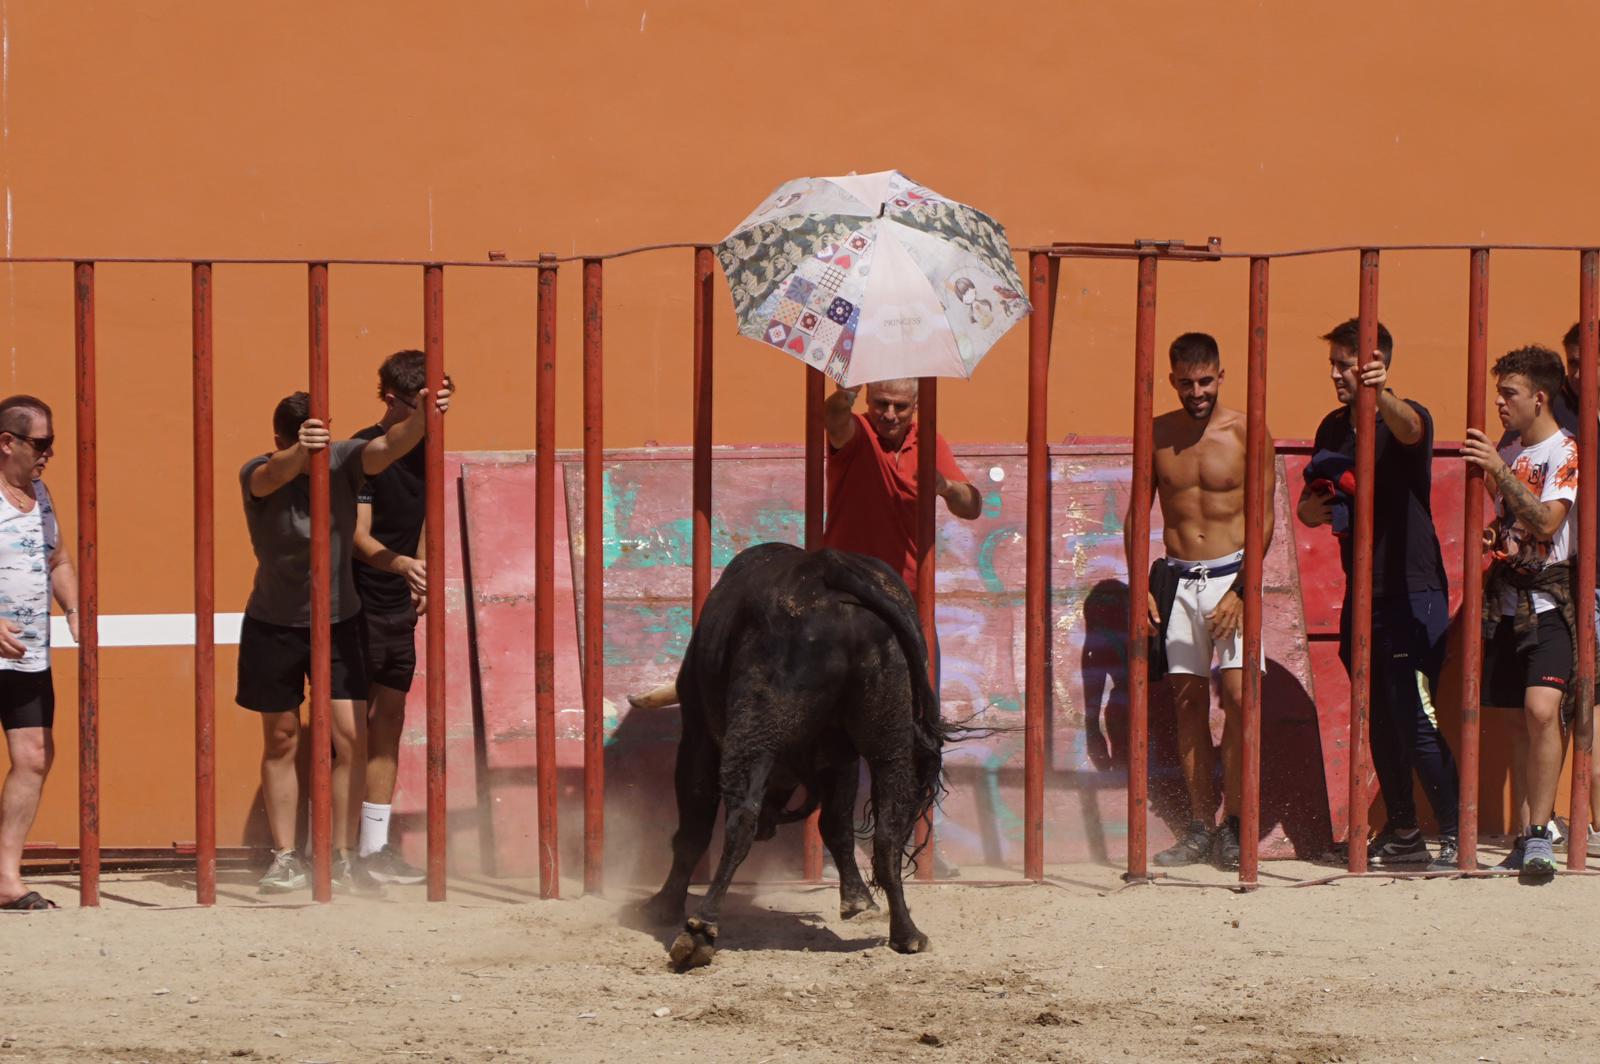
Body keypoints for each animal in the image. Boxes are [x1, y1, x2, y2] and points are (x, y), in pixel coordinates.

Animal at [640, 544, 960, 966]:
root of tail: (830, 571)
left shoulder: (697, 735)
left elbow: (693, 830)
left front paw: (664, 905)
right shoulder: (841, 759)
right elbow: (837, 826)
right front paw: (859, 901)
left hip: (755, 731)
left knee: (740, 819)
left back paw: (700, 930)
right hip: (889, 733)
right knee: (889, 831)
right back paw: (907, 933)